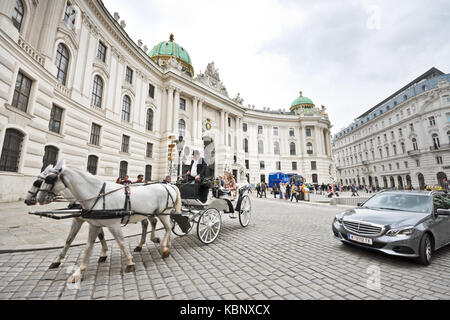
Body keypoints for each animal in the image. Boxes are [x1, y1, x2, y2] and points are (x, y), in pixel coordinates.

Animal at [36, 160, 181, 282]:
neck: (97, 195)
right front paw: (79, 271)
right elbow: (87, 246)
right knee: (161, 225)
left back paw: (164, 248)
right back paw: (163, 244)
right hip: (152, 213)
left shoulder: (113, 224)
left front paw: (129, 263)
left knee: (168, 228)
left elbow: (121, 243)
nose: (38, 198)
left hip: (163, 213)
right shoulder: (93, 224)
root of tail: (168, 185)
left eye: (49, 178)